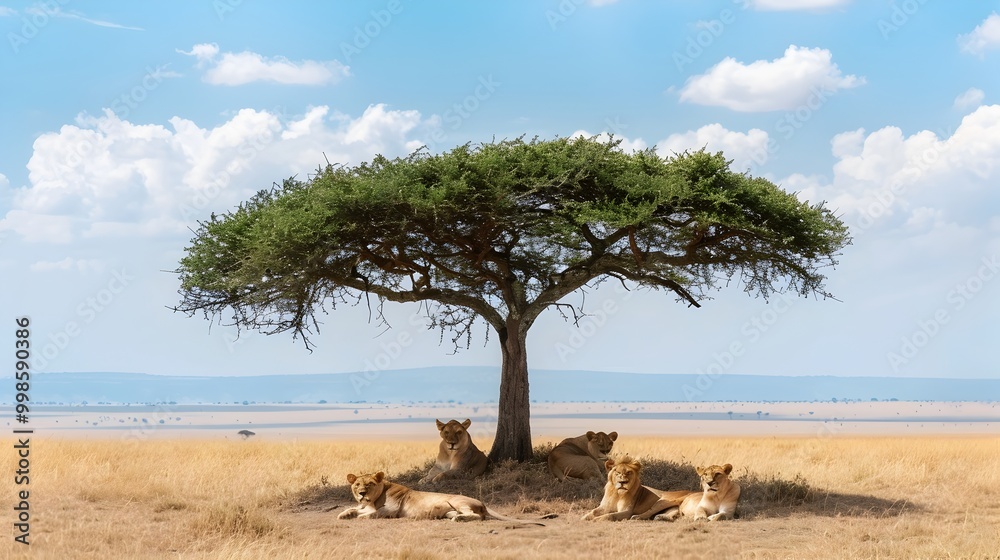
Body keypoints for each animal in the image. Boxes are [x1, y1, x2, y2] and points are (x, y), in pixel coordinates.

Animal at [337, 472, 544, 525]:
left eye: (370, 484)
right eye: (357, 485)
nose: (362, 493)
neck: (372, 501)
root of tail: (482, 502)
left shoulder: (391, 510)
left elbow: (372, 514)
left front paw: (359, 517)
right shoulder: (363, 505)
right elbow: (353, 508)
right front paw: (344, 514)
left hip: (458, 501)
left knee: (479, 516)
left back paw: (460, 519)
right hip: (449, 509)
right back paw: (456, 517)